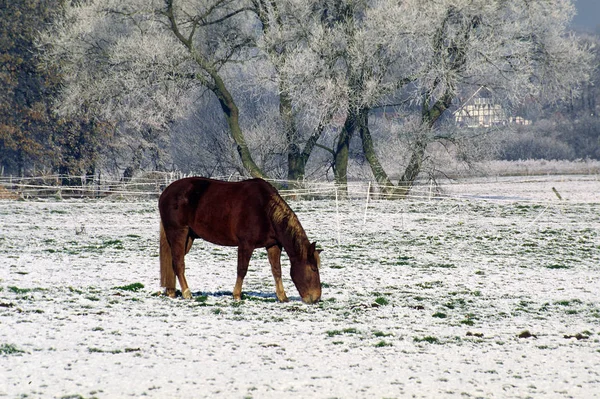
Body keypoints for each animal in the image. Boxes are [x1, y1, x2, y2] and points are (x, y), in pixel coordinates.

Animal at [157, 177, 322, 304]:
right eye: (313, 269)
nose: (316, 298)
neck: (265, 209)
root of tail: (165, 193)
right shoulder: (246, 245)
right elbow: (242, 269)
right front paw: (236, 295)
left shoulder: (273, 245)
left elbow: (277, 270)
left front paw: (282, 296)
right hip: (178, 232)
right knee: (178, 263)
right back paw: (186, 293)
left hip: (189, 237)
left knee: (173, 261)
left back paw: (171, 291)